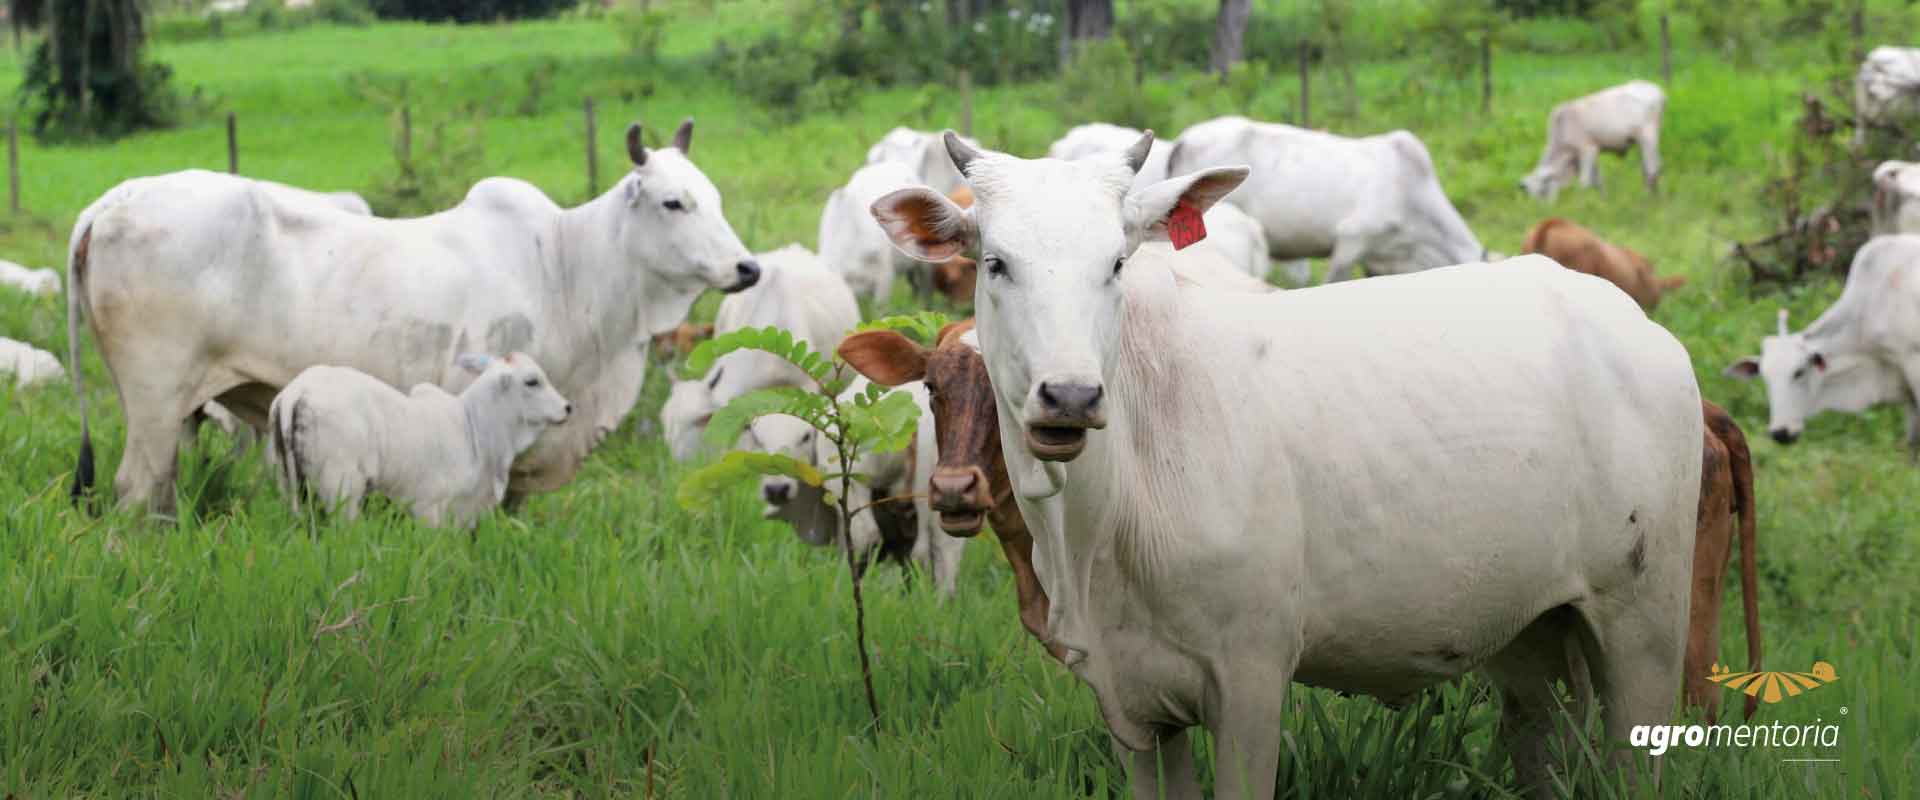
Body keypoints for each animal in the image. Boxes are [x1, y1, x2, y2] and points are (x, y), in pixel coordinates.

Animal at [267, 353, 571, 529]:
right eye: (532, 381)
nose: (568, 408)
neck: (473, 426)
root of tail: (297, 391)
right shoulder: (429, 508)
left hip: (290, 483)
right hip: (342, 488)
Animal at [1519, 81, 1665, 200]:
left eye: (1542, 191)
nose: (1542, 211)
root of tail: (1657, 90)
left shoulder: (1587, 149)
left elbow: (1584, 182)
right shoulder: (1593, 151)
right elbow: (1598, 181)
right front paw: (1604, 200)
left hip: (1648, 137)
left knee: (1652, 169)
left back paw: (1647, 198)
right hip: (1642, 142)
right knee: (1649, 168)